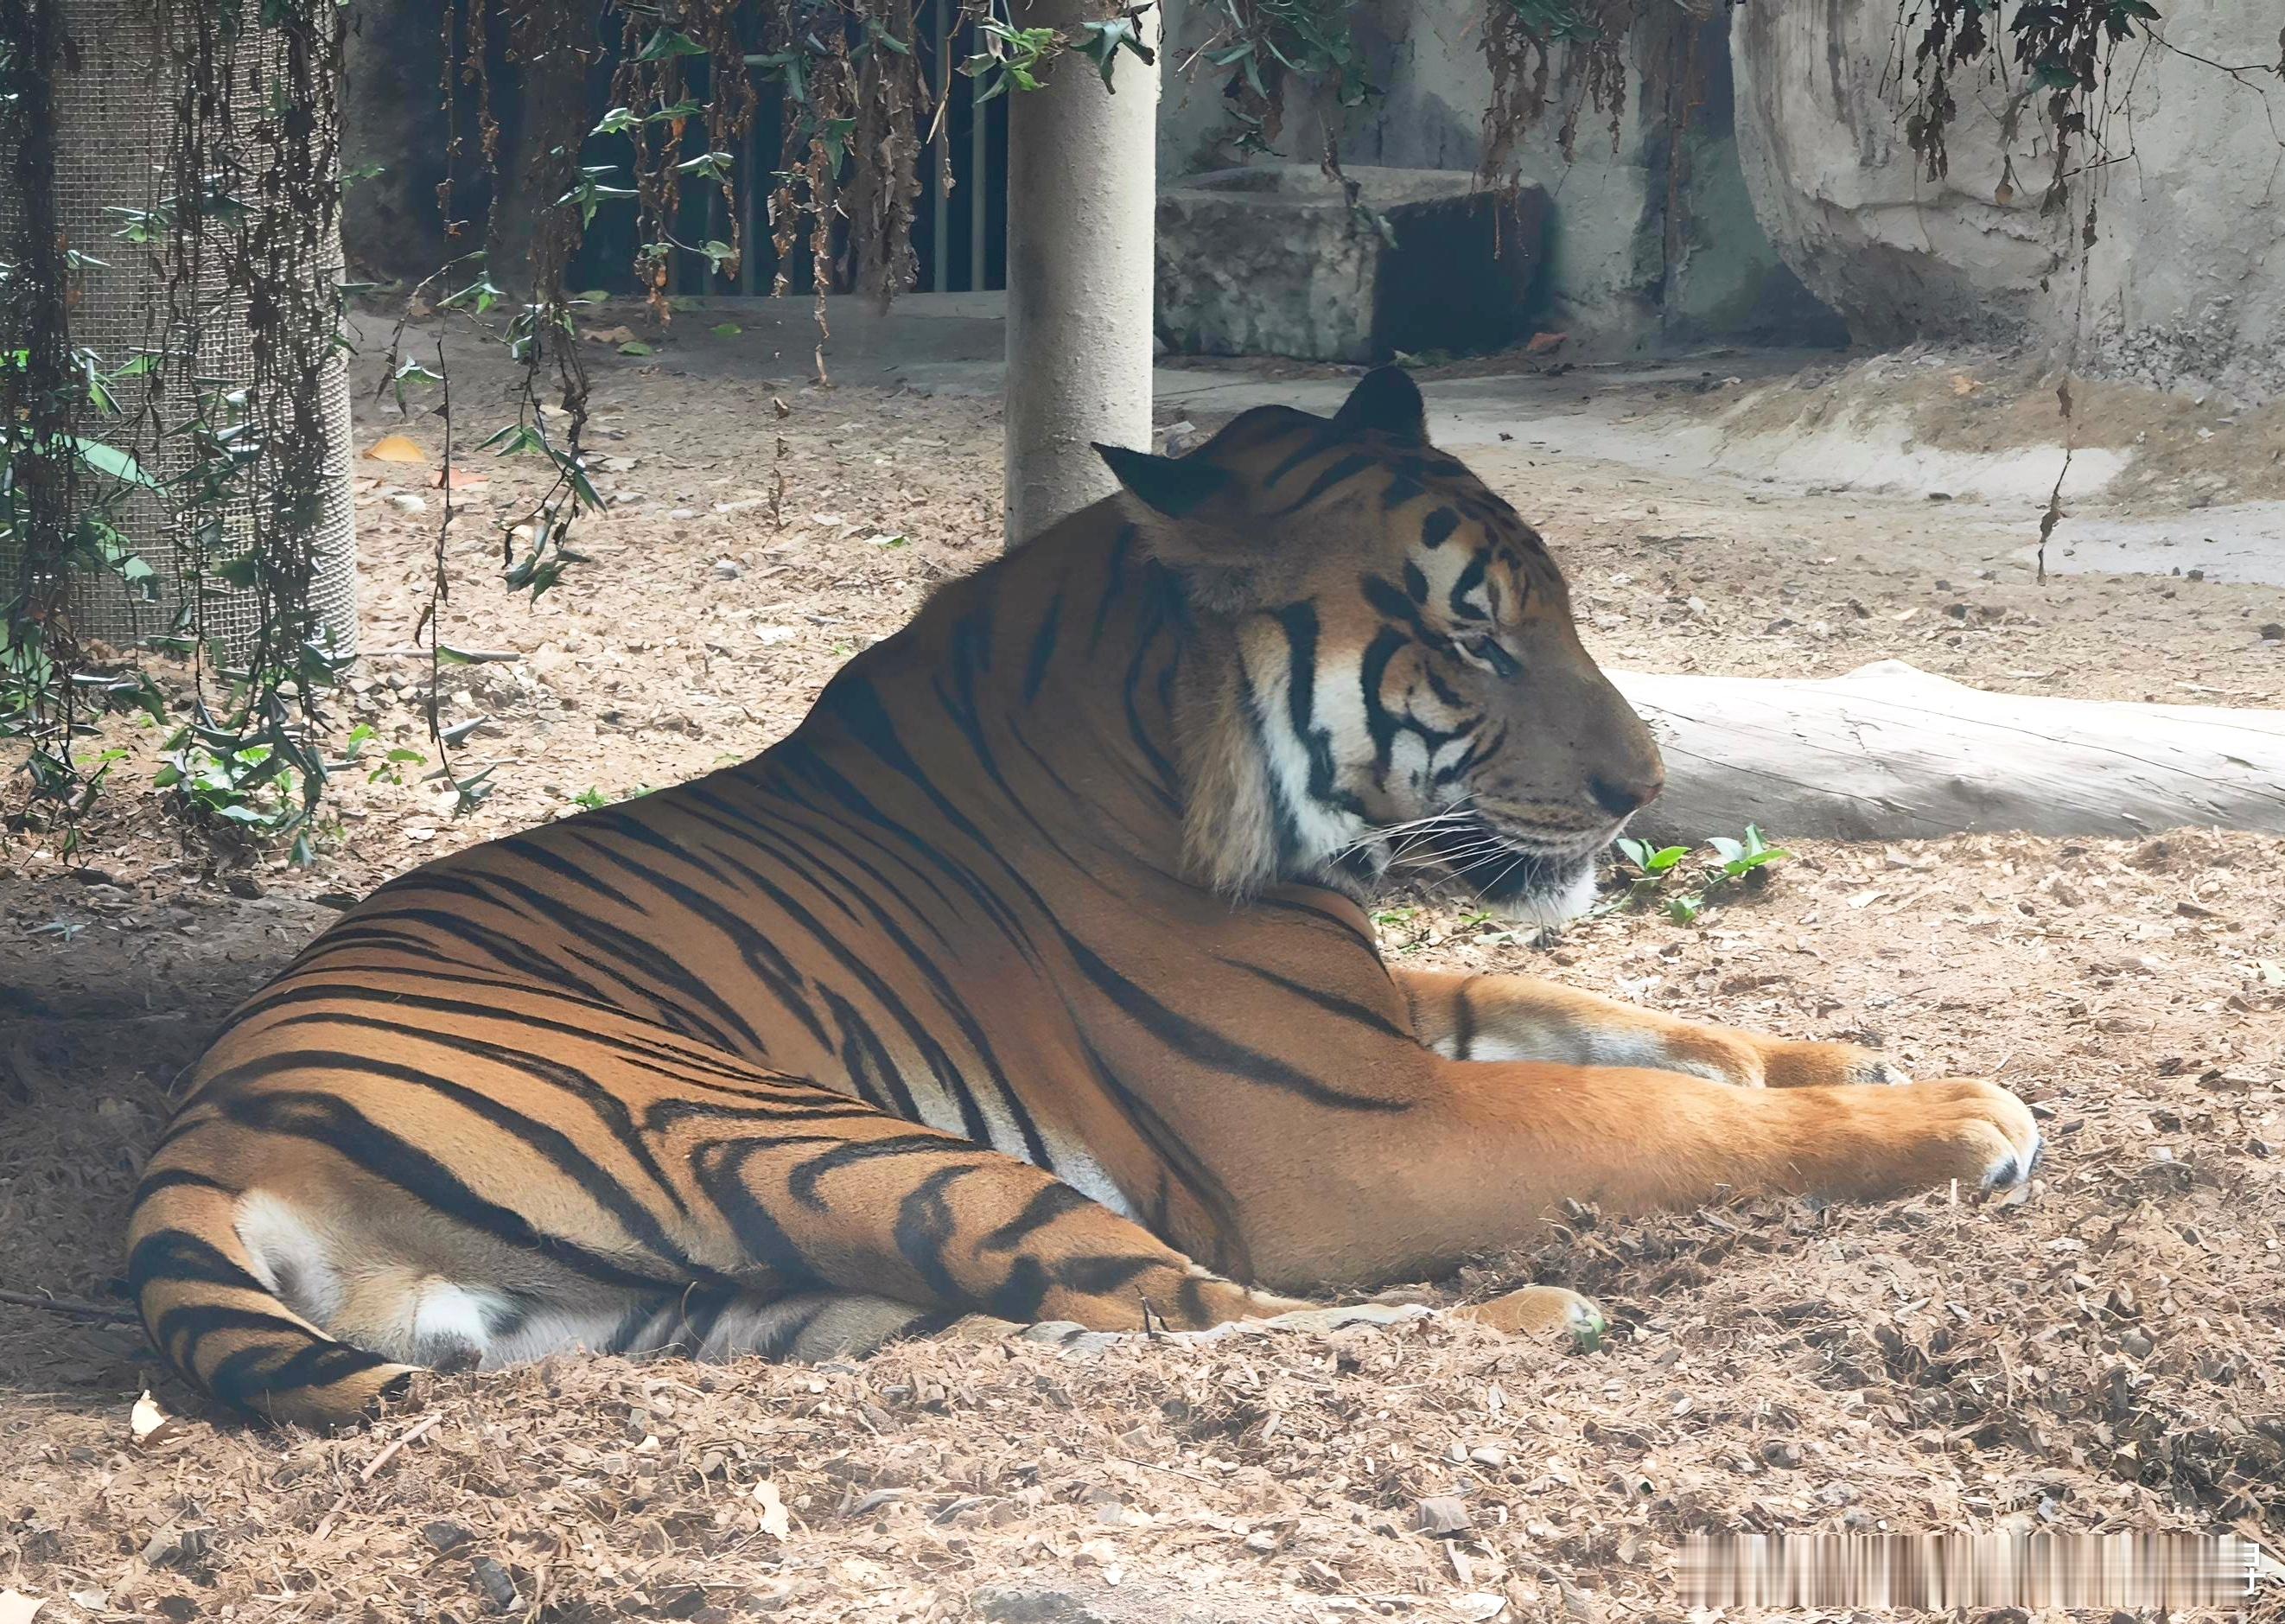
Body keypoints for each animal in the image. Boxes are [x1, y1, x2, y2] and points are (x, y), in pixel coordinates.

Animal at [127, 366, 2040, 1427]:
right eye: (1468, 633)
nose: (1644, 786)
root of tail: (204, 1127)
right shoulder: (1352, 1124)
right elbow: (1647, 1117)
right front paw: (1958, 1116)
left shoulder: (1391, 1005)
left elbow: (1622, 1020)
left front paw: (1854, 1057)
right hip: (820, 1136)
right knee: (1211, 1315)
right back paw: (1526, 1317)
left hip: (744, 1295)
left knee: (1074, 1334)